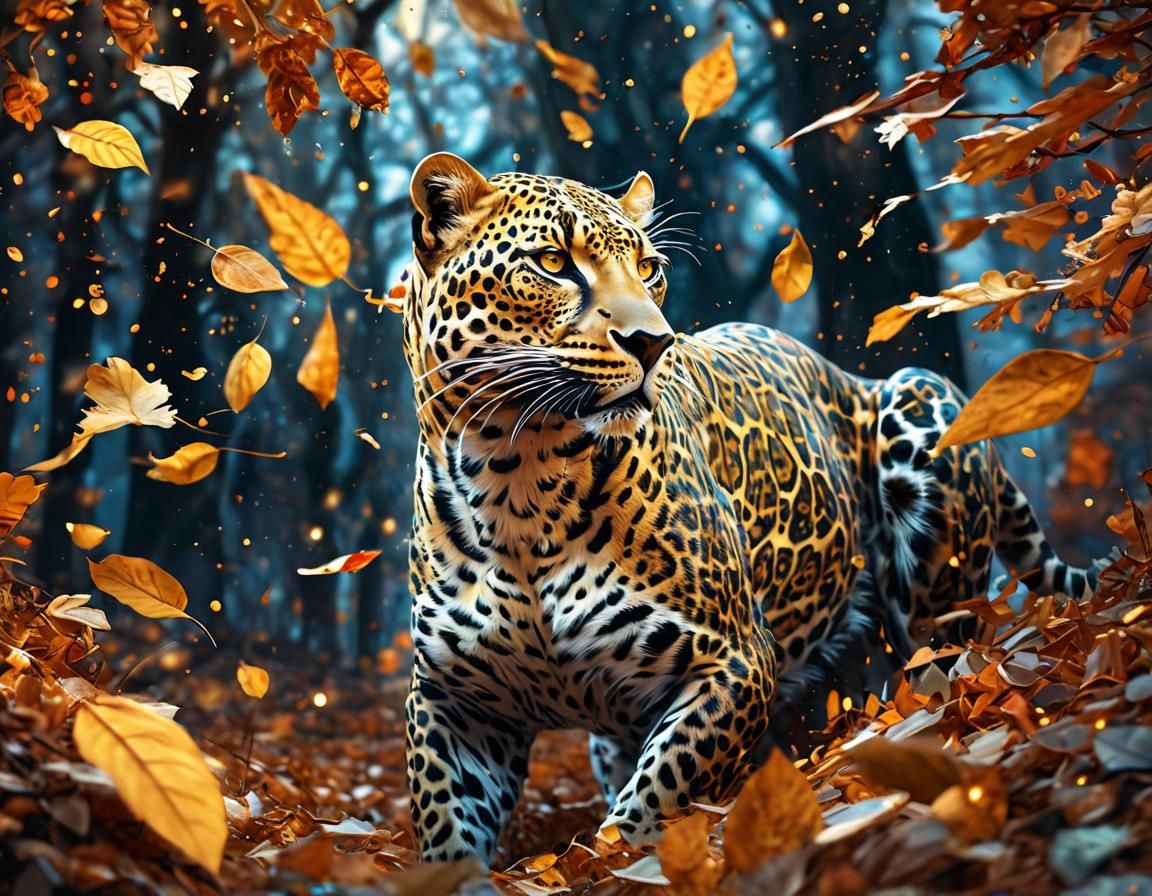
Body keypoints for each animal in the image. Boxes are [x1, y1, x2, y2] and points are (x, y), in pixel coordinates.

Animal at [399, 152, 1098, 863]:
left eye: (649, 268)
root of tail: (849, 374)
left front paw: (624, 864)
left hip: (921, 419)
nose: (654, 342)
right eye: (553, 262)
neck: (519, 489)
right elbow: (446, 831)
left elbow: (649, 809)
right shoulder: (453, 704)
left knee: (947, 674)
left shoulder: (733, 663)